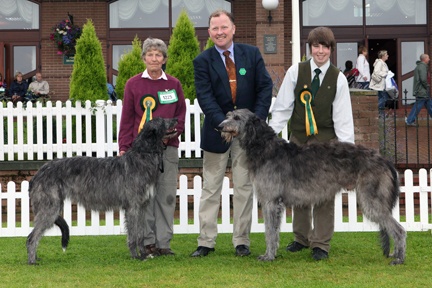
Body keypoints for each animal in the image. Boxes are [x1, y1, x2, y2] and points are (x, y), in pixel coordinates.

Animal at [26, 116, 178, 264]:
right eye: (162, 120)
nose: (176, 119)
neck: (142, 156)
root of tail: (36, 175)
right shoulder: (132, 207)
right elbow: (132, 235)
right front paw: (135, 256)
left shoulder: (142, 206)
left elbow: (140, 234)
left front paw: (144, 254)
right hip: (50, 208)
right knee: (31, 237)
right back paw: (32, 261)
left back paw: (36, 257)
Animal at [219, 108, 404, 266]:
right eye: (229, 115)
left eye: (237, 118)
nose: (220, 126)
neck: (265, 147)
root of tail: (385, 160)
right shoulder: (270, 202)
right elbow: (271, 231)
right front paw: (271, 254)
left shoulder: (271, 202)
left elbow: (270, 233)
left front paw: (269, 256)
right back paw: (395, 253)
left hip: (371, 201)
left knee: (400, 229)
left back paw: (399, 259)